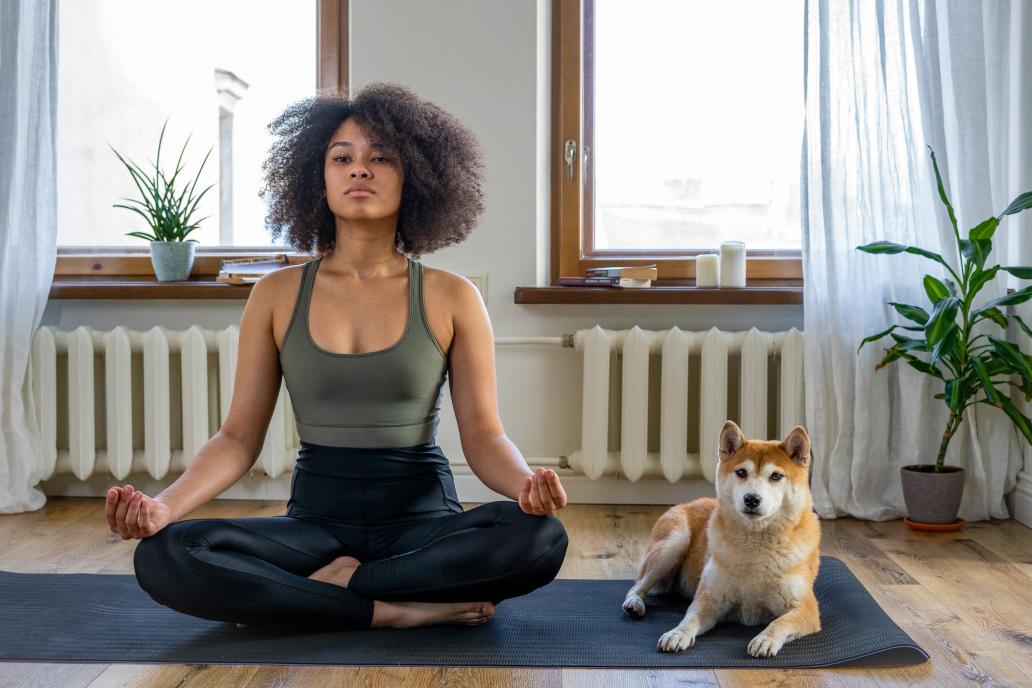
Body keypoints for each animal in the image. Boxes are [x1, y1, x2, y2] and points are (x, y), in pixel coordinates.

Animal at [619, 420, 821, 656]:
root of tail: (687, 503)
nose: (752, 499)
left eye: (776, 476)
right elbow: (688, 620)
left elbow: (779, 623)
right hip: (674, 544)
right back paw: (634, 603)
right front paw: (677, 634)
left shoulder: (806, 609)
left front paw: (765, 639)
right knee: (638, 585)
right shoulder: (709, 600)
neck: (756, 546)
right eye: (741, 472)